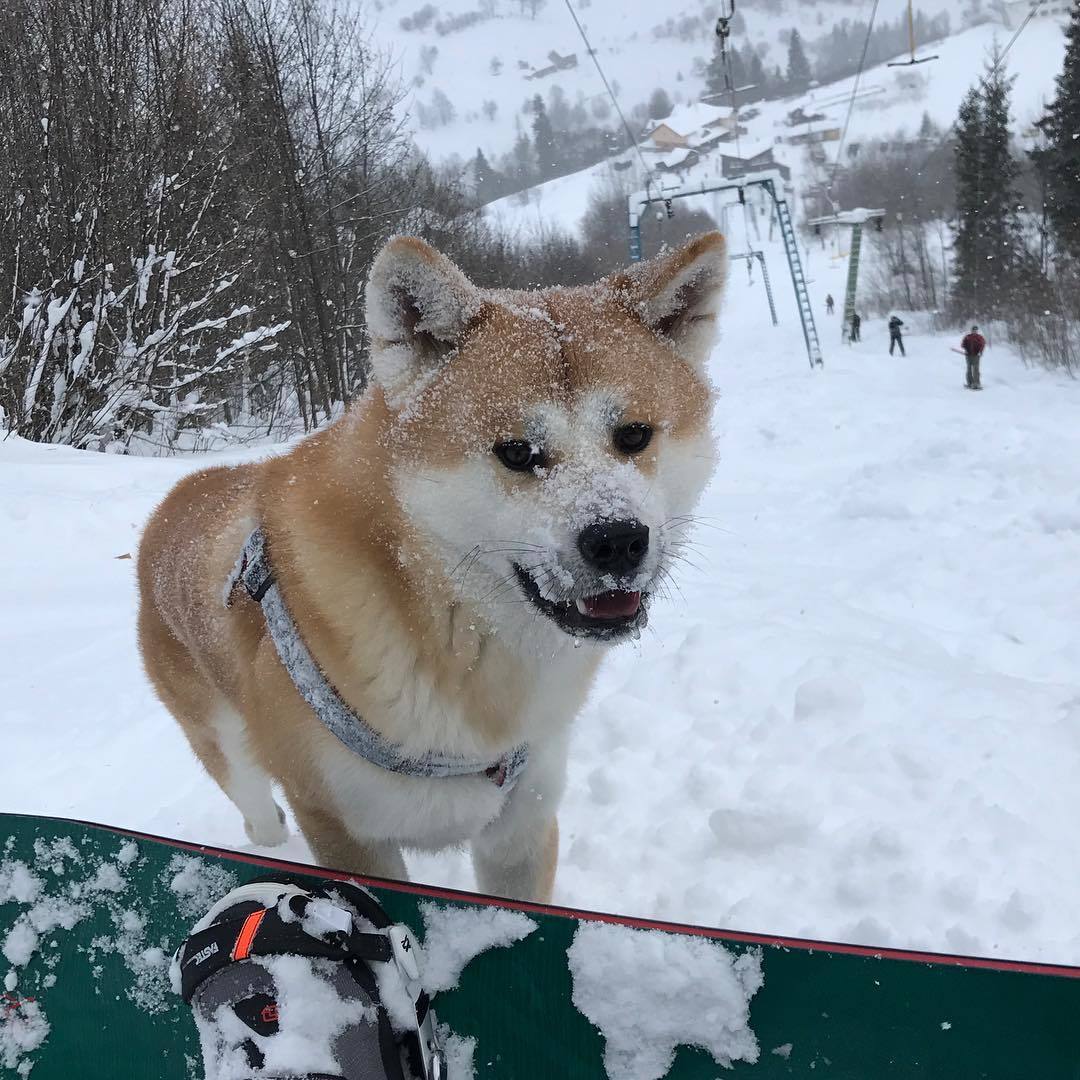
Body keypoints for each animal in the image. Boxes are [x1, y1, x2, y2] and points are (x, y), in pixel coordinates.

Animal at [137, 230, 725, 902]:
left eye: (633, 436)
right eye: (517, 452)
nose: (618, 540)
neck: (452, 630)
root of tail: (180, 494)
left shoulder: (521, 828)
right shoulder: (345, 830)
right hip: (226, 746)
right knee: (257, 811)